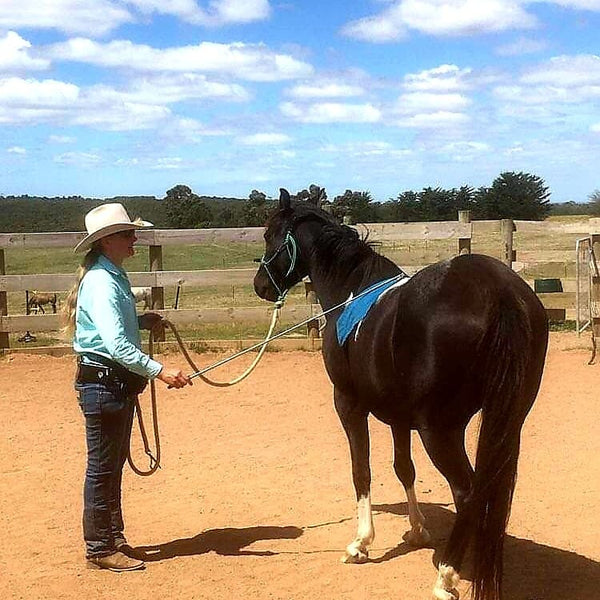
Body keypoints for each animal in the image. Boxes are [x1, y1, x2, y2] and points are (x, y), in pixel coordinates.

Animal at [253, 189, 548, 600]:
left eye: (269, 234)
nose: (260, 286)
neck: (352, 290)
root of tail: (497, 291)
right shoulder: (398, 416)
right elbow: (403, 468)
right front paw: (418, 530)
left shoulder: (349, 404)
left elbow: (361, 470)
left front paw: (361, 544)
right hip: (507, 421)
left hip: (440, 431)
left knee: (468, 492)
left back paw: (446, 575)